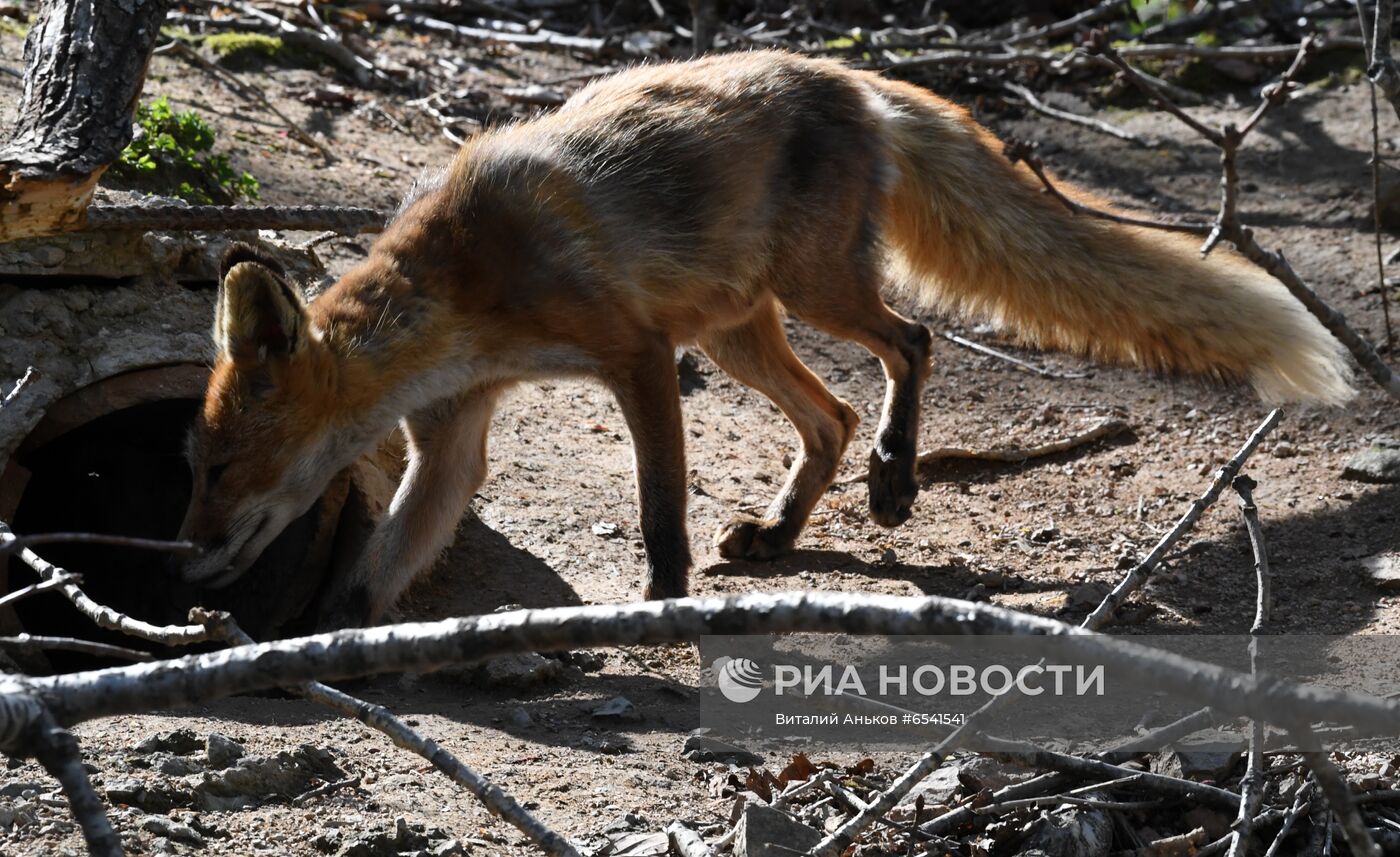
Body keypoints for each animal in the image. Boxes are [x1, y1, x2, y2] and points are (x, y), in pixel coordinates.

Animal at [175, 50, 1344, 627]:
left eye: (222, 466)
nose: (187, 560)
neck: (465, 285)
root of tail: (851, 77)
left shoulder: (637, 355)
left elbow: (658, 512)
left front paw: (660, 608)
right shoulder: (454, 436)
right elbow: (375, 570)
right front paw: (313, 639)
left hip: (807, 293)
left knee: (911, 342)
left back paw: (893, 477)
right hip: (741, 331)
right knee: (829, 416)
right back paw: (783, 530)